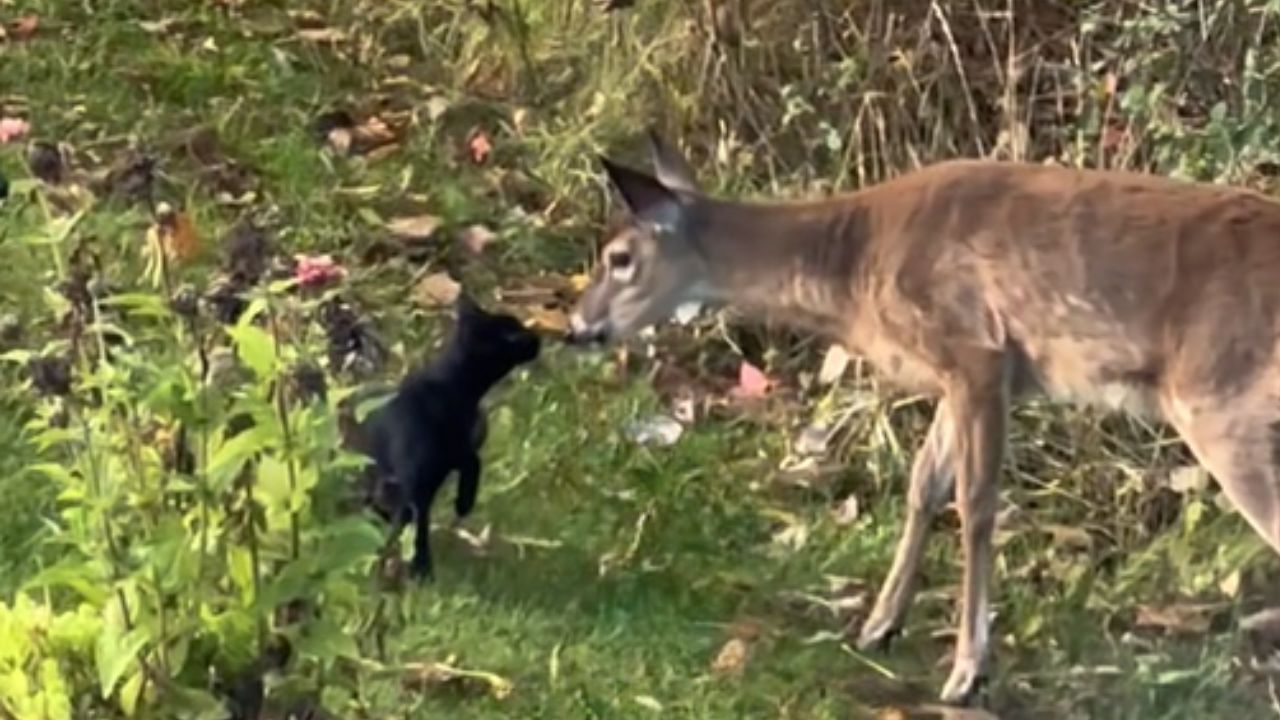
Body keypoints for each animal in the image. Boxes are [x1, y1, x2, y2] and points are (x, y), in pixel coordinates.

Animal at [563, 128, 1280, 702]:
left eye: (618, 258)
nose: (577, 327)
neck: (853, 267)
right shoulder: (964, 376)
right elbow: (922, 484)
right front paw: (878, 625)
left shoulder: (976, 352)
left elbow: (975, 503)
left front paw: (967, 671)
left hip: (1219, 399)